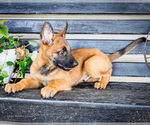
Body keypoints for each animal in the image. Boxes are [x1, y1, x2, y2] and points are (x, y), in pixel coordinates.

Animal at [4, 22, 145, 98]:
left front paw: (49, 88)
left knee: (108, 71)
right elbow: (24, 81)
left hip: (90, 63)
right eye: (62, 52)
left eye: (70, 50)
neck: (47, 68)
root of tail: (104, 55)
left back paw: (102, 83)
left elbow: (54, 83)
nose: (77, 64)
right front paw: (14, 85)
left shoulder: (64, 81)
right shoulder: (35, 80)